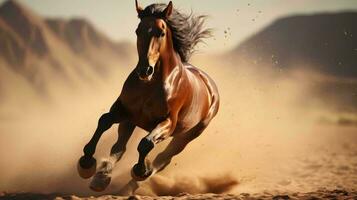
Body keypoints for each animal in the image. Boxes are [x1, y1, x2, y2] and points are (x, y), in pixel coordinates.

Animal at [76, 0, 218, 192]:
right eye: (138, 30)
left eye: (162, 32)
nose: (145, 70)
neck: (151, 85)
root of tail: (210, 86)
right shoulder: (123, 109)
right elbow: (104, 121)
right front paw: (86, 163)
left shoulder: (168, 123)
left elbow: (146, 143)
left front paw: (141, 170)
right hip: (130, 121)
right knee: (119, 147)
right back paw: (102, 178)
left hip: (187, 135)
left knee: (164, 158)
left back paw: (131, 185)